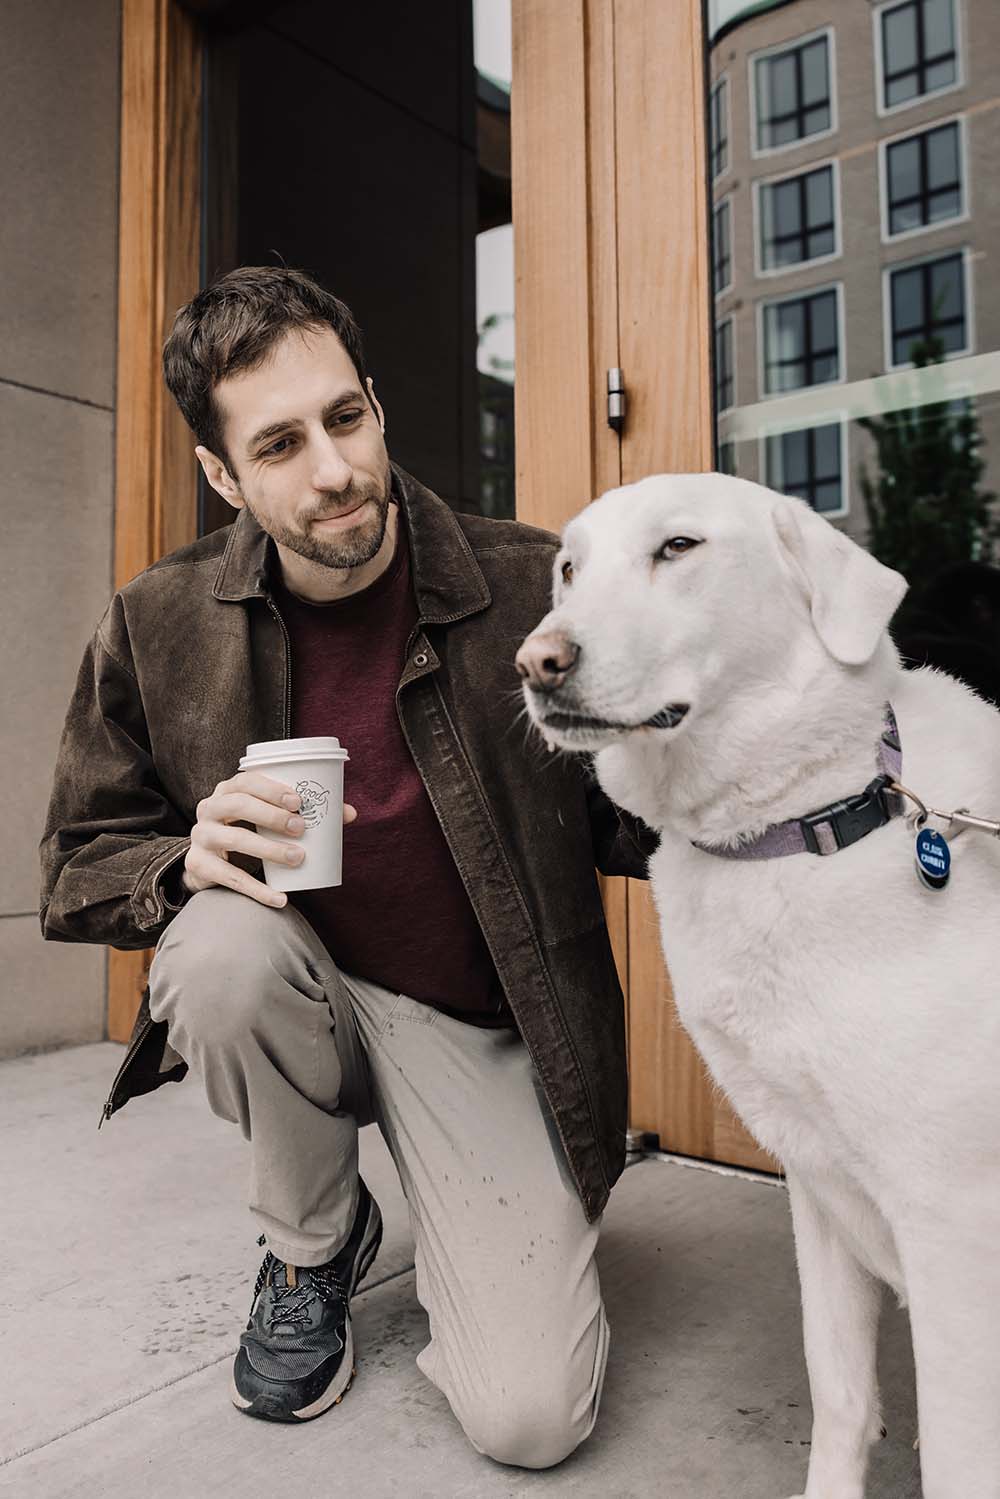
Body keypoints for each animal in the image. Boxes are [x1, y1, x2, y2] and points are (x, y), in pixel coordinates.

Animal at [515, 470, 1000, 1499]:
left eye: (679, 547)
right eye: (568, 568)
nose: (538, 660)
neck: (804, 821)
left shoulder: (954, 1223)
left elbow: (960, 1456)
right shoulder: (816, 1185)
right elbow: (841, 1392)